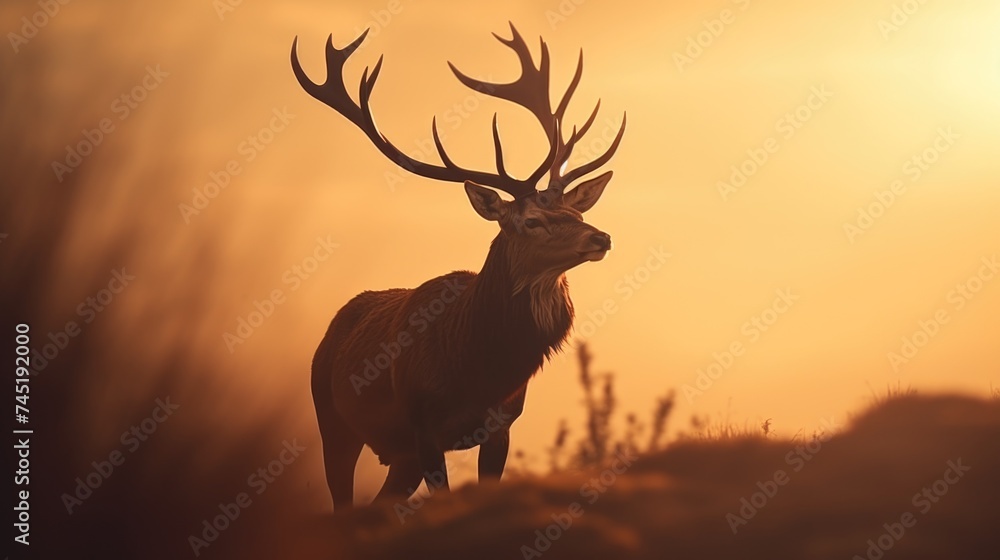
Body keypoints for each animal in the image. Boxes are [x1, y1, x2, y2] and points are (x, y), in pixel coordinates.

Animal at [291, 23, 625, 510]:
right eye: (531, 221)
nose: (600, 237)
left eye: (575, 213)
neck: (478, 369)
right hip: (330, 419)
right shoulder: (422, 427)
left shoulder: (502, 423)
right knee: (343, 501)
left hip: (396, 457)